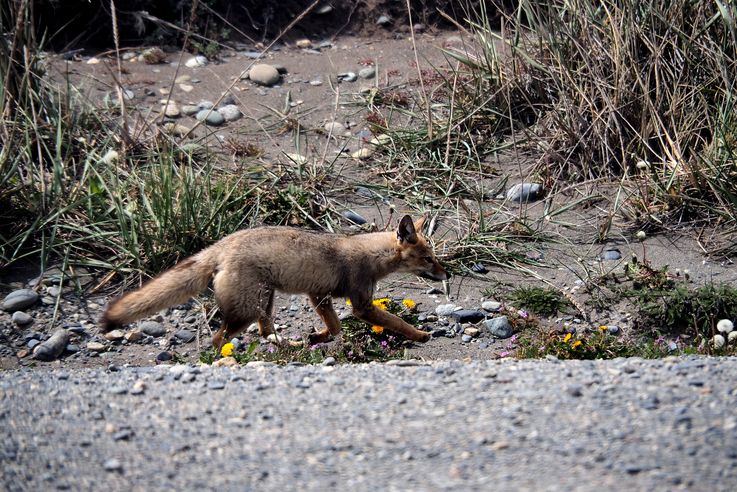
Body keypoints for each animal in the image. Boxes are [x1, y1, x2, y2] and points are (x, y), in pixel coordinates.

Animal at [101, 215, 448, 350]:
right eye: (429, 259)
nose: (447, 275)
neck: (370, 253)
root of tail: (223, 244)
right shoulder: (361, 305)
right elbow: (396, 322)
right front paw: (420, 334)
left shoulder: (318, 295)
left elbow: (335, 327)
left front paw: (319, 336)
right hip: (248, 310)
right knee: (219, 339)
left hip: (264, 303)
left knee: (265, 333)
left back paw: (287, 347)